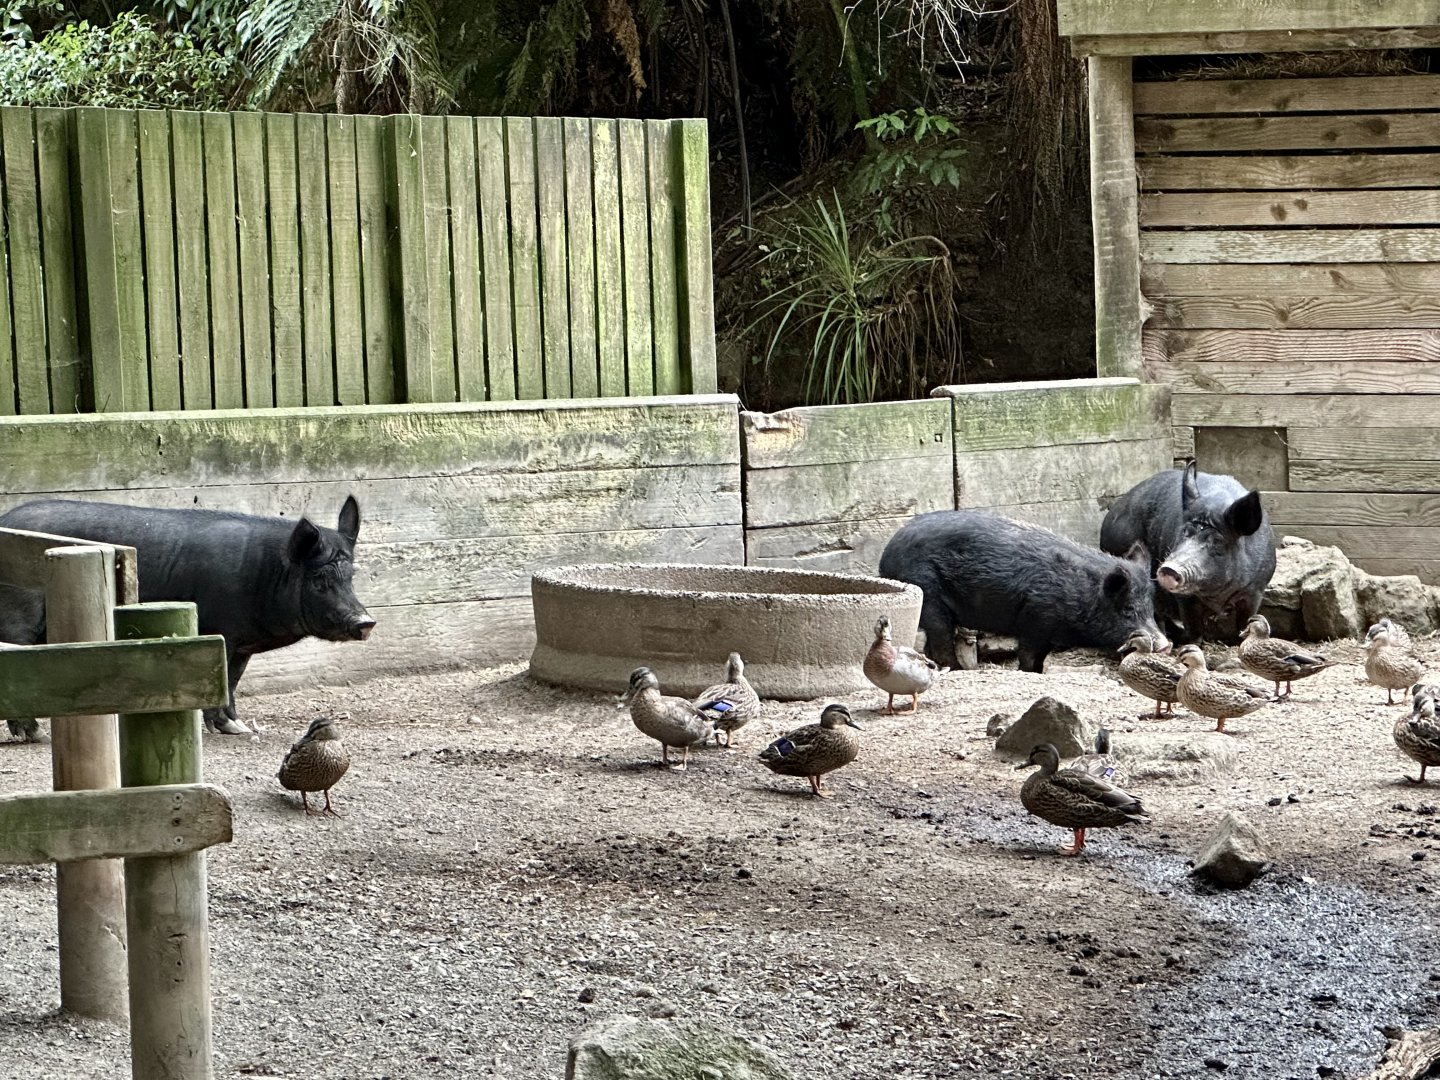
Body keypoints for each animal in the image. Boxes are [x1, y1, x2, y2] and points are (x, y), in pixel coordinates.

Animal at [0, 497, 375, 734]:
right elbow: (224, 679)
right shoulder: (222, 631)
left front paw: (236, 727)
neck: (268, 574)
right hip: (19, 614)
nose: (366, 622)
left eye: (351, 575)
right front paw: (227, 729)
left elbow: (233, 680)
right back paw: (33, 734)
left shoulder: (242, 644)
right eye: (319, 579)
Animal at [877, 510, 1163, 673]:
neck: (1080, 593)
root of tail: (886, 556)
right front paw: (1027, 671)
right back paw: (961, 670)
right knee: (940, 640)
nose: (1163, 644)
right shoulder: (1036, 619)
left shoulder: (1049, 632)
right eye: (1128, 610)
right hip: (930, 597)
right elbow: (1027, 655)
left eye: (1152, 609)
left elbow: (1039, 659)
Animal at [1099, 460, 1275, 645]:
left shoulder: (1255, 591)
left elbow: (1245, 621)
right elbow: (1193, 629)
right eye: (1184, 531)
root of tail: (1112, 513)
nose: (1168, 569)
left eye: (1217, 541)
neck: (1216, 595)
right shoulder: (1184, 599)